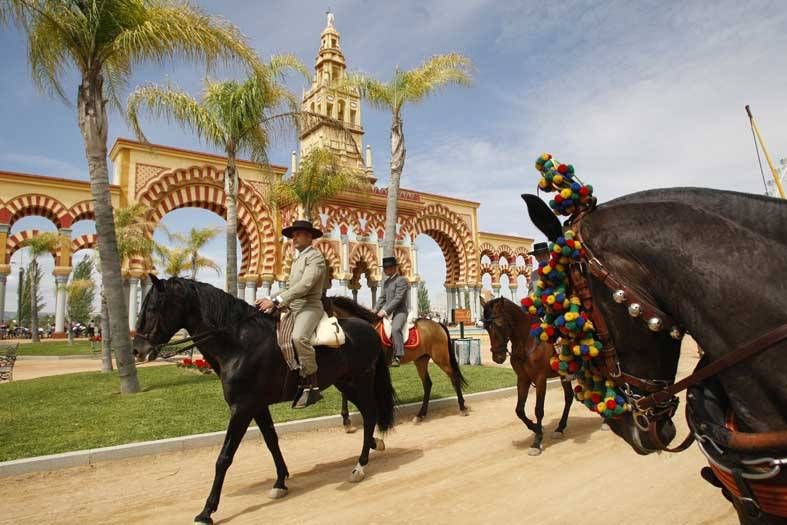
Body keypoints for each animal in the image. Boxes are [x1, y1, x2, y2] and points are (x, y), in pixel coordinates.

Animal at [133, 276, 400, 520]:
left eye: (153, 307)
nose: (137, 350)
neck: (239, 344)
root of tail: (368, 328)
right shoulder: (257, 407)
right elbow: (272, 442)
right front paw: (280, 482)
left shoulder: (242, 409)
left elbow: (224, 457)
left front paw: (207, 511)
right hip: (345, 384)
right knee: (369, 413)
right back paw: (372, 446)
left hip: (360, 381)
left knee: (370, 414)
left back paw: (360, 466)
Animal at [324, 294, 468, 426]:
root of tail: (437, 324)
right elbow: (345, 392)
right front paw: (346, 420)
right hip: (421, 360)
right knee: (427, 384)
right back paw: (420, 415)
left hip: (440, 358)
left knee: (454, 378)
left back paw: (462, 408)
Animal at [478, 296, 576, 452]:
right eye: (486, 327)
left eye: (500, 324)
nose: (498, 357)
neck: (527, 342)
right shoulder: (523, 379)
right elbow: (519, 410)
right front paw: (536, 428)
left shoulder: (540, 379)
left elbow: (538, 410)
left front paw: (537, 441)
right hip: (564, 376)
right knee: (569, 397)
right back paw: (560, 428)